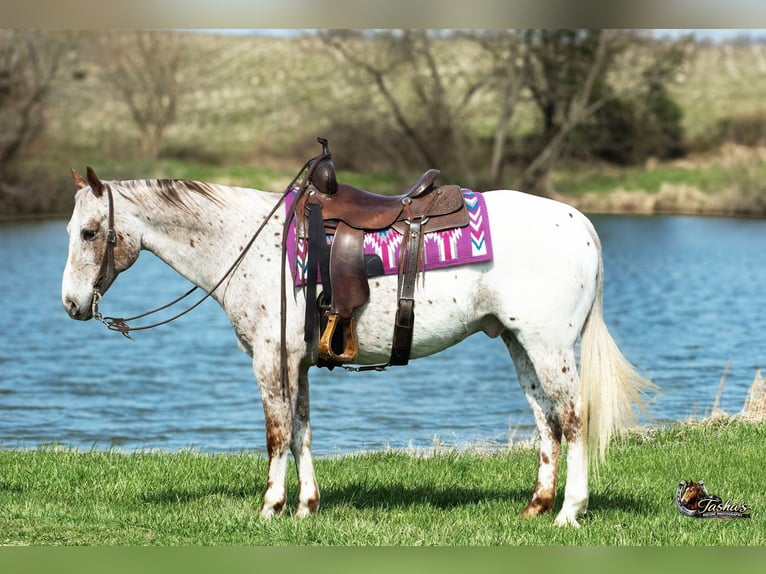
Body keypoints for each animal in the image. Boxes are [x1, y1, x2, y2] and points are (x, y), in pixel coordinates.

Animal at [61, 167, 652, 527]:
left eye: (89, 232)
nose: (70, 304)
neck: (249, 244)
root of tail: (580, 224)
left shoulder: (270, 360)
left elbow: (277, 434)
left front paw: (271, 506)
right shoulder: (296, 362)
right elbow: (302, 431)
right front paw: (306, 506)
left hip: (549, 346)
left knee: (573, 420)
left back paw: (569, 511)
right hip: (519, 343)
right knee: (546, 422)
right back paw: (537, 505)